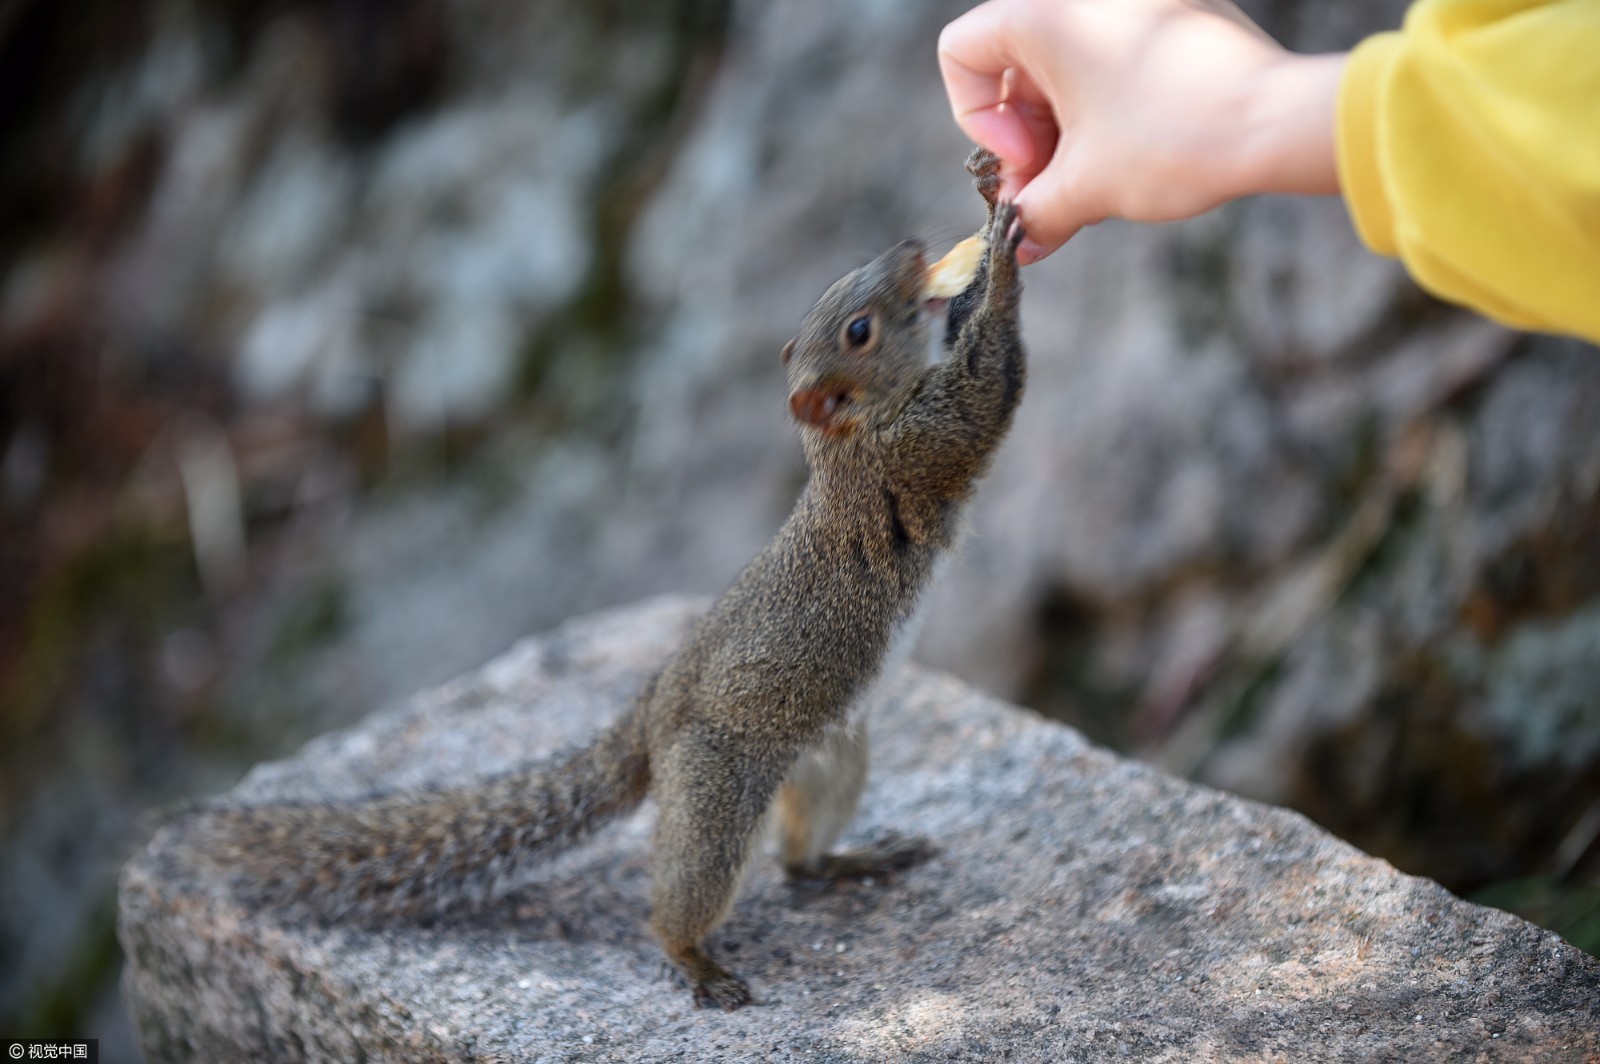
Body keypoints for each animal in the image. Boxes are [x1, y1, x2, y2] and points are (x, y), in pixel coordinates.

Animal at [175, 147, 1024, 1004]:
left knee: (798, 859)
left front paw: (990, 192)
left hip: (830, 754)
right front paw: (1004, 249)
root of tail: (653, 711)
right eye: (859, 329)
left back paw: (849, 861)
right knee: (686, 893)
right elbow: (988, 387)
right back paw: (696, 960)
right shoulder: (918, 449)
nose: (912, 248)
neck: (848, 435)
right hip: (715, 798)